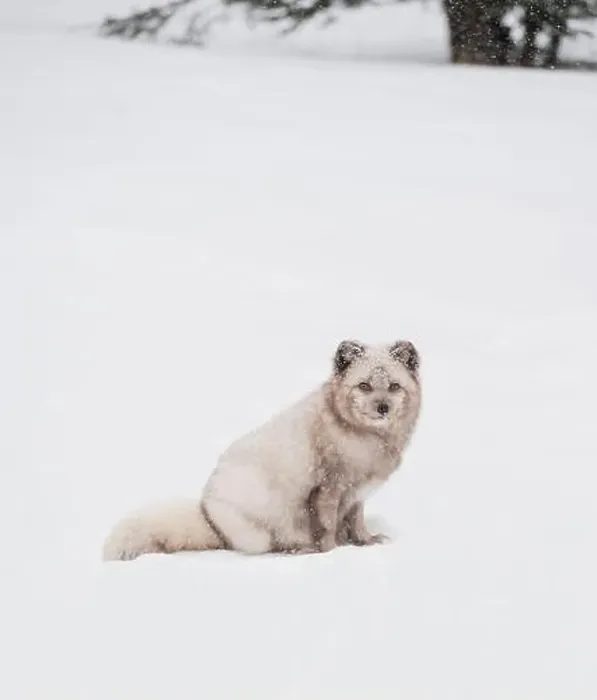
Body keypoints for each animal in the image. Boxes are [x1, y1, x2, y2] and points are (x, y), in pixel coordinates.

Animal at [102, 339, 422, 561]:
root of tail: (208, 515)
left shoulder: (356, 495)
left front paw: (366, 542)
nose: (382, 408)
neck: (366, 440)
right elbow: (327, 527)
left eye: (394, 386)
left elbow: (356, 523)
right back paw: (298, 550)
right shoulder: (327, 488)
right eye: (364, 386)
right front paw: (331, 553)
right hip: (263, 529)